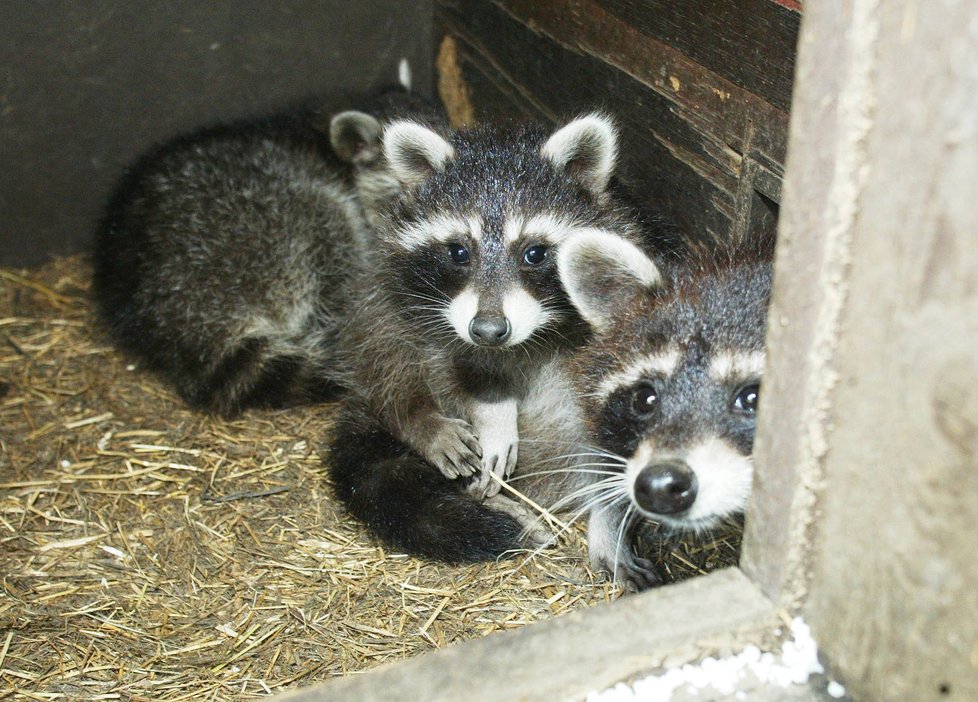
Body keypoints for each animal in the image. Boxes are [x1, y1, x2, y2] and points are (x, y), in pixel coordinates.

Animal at [328, 111, 656, 560]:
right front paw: (490, 412)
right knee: (387, 358)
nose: (487, 330)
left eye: (535, 253)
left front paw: (611, 521)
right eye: (458, 252)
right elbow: (415, 355)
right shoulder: (395, 282)